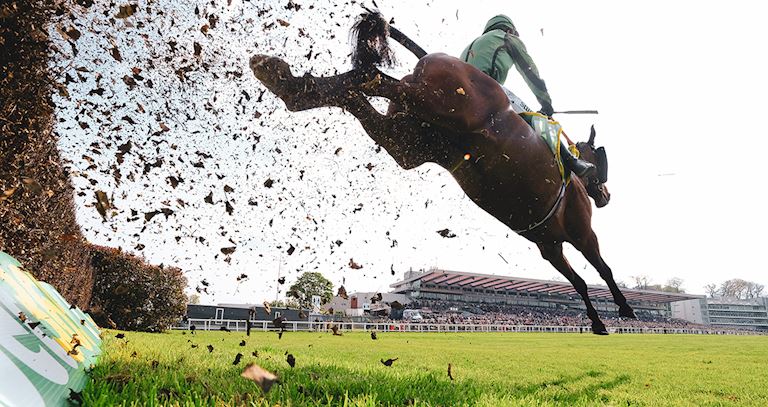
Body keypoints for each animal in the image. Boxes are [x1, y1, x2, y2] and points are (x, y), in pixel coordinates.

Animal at [249, 11, 632, 334]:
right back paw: (286, 77)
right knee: (371, 78)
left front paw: (598, 322)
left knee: (355, 94)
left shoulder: (549, 245)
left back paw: (284, 79)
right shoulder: (580, 232)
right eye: (599, 160)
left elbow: (579, 281)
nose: (606, 196)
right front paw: (624, 308)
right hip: (434, 102)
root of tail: (432, 57)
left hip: (411, 143)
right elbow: (602, 269)